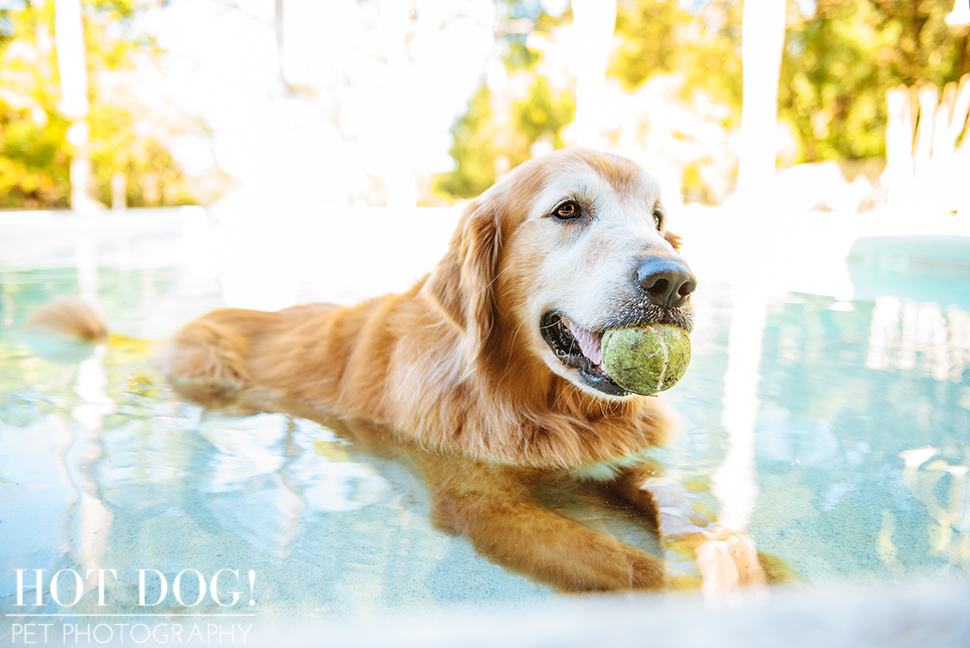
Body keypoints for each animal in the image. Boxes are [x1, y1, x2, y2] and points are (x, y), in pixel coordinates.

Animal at [34, 149, 792, 596]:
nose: (674, 281)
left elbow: (683, 504)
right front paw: (702, 591)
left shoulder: (622, 460)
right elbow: (631, 564)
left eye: (659, 219)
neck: (535, 400)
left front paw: (754, 561)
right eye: (568, 210)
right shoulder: (477, 501)